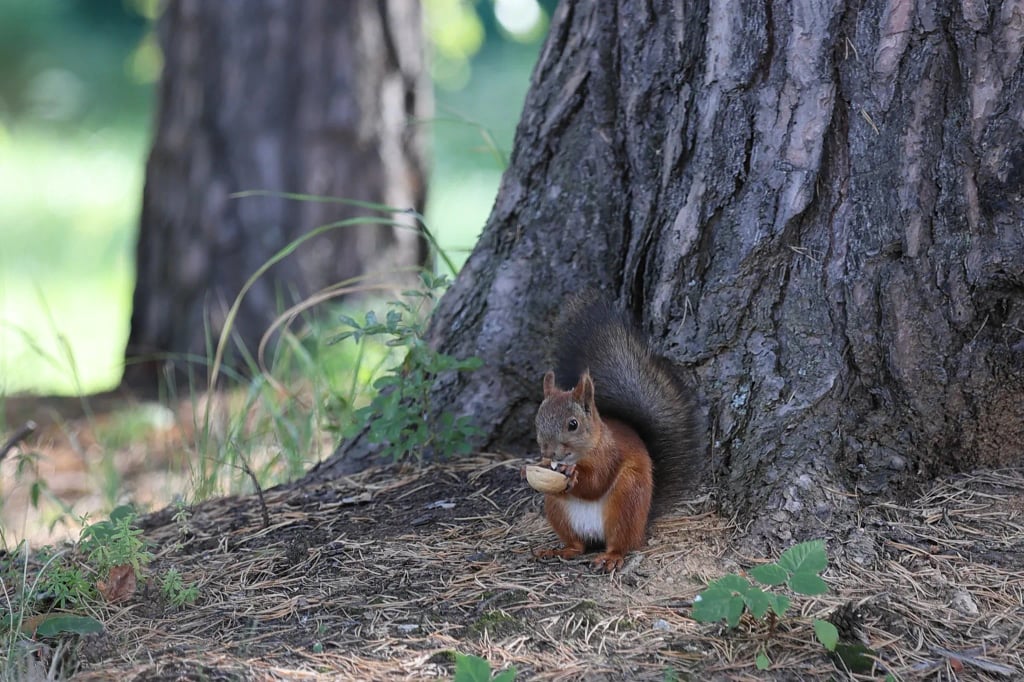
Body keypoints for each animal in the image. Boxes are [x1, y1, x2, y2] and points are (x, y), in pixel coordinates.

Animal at [530, 300, 703, 571]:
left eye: (573, 424)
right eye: (538, 419)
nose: (548, 452)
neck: (588, 448)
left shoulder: (611, 453)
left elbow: (597, 482)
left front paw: (573, 474)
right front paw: (536, 467)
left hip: (626, 502)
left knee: (622, 543)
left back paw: (611, 558)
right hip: (559, 512)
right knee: (578, 546)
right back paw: (559, 550)